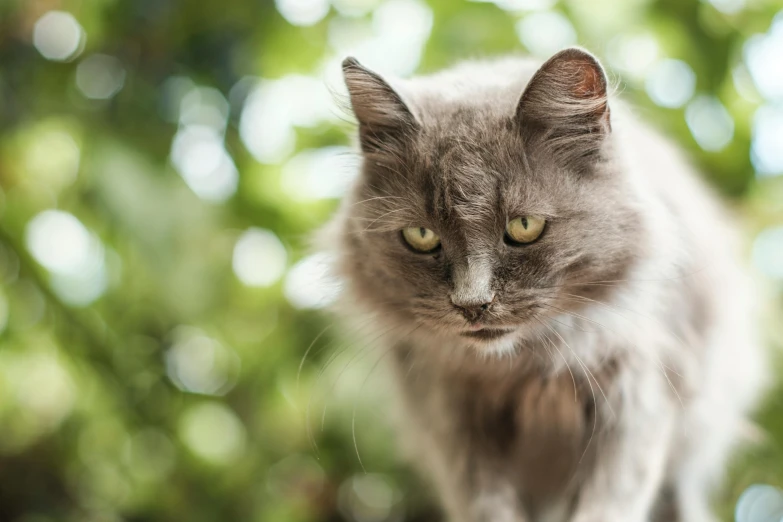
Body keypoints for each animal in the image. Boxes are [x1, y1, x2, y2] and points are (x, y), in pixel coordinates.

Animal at [324, 47, 764, 520]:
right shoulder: (455, 426)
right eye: (421, 237)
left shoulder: (638, 402)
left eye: (524, 227)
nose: (472, 304)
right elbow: (487, 505)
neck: (529, 364)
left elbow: (610, 501)